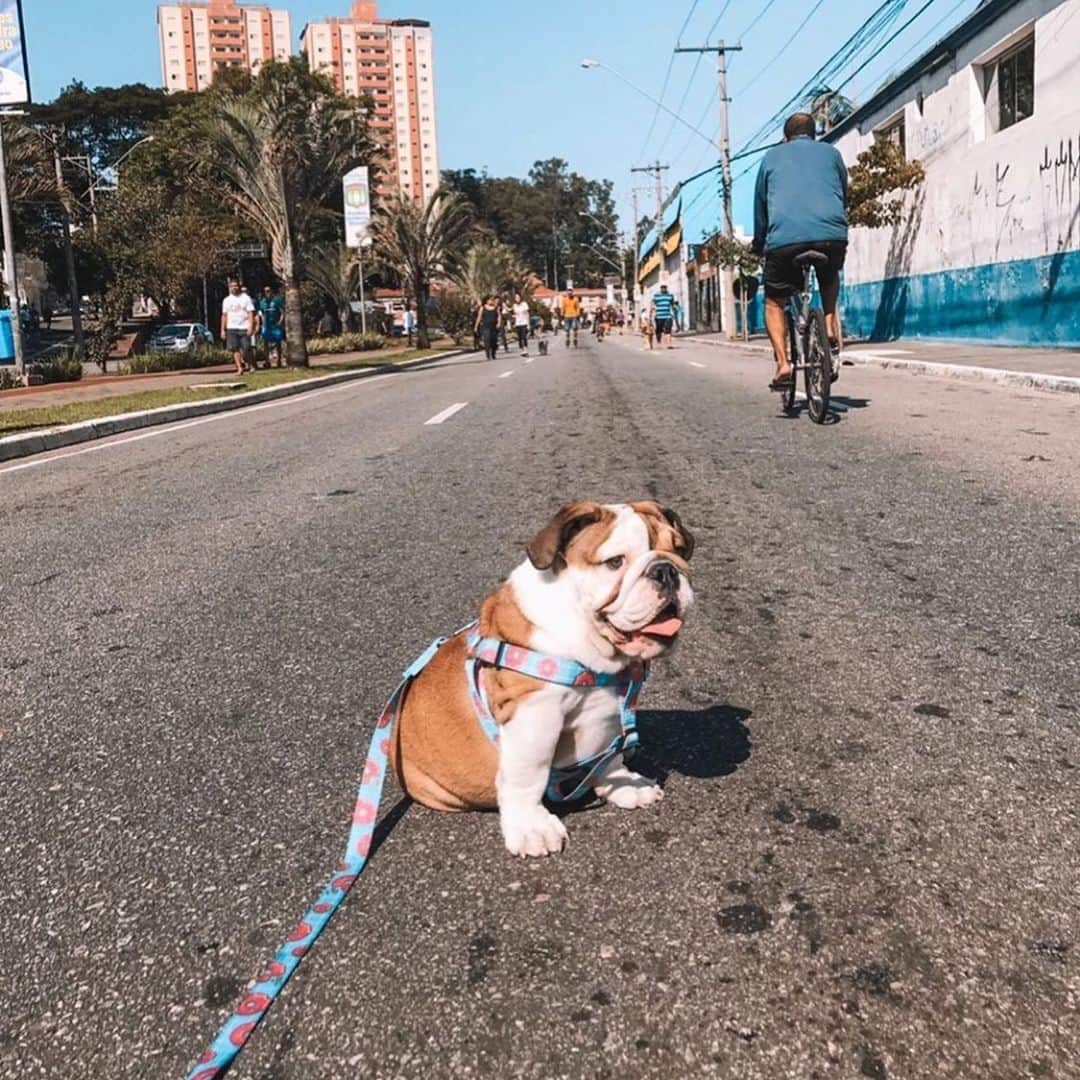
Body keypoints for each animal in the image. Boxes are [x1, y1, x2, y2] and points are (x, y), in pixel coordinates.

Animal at [393, 501, 695, 855]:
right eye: (615, 562)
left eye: (680, 551)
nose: (666, 570)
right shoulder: (534, 714)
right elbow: (528, 775)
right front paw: (531, 827)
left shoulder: (610, 709)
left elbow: (610, 756)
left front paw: (621, 783)